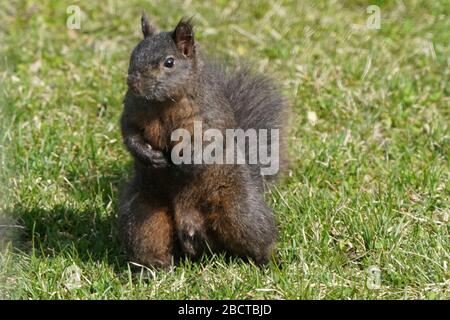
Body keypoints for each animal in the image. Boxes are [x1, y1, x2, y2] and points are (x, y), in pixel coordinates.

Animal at [119, 13, 288, 268]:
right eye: (133, 54)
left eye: (169, 62)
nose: (133, 84)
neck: (164, 102)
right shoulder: (132, 111)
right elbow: (129, 134)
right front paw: (149, 156)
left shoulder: (210, 115)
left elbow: (210, 142)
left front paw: (185, 162)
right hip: (144, 217)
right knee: (151, 242)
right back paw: (152, 269)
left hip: (240, 212)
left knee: (256, 236)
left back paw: (266, 262)